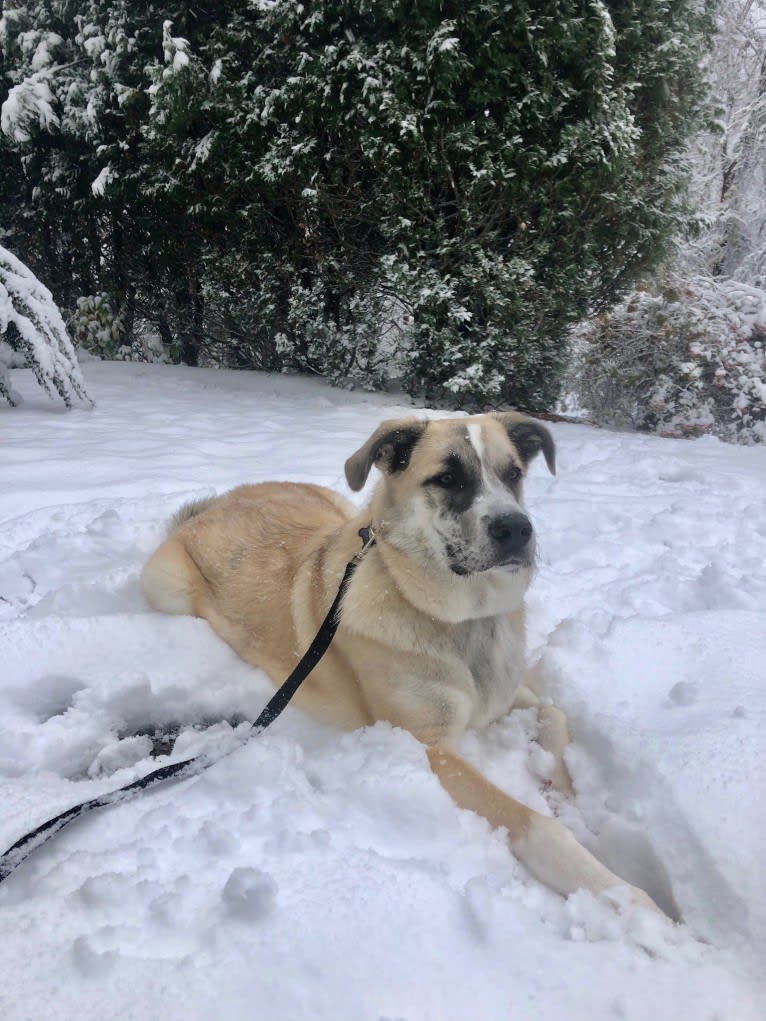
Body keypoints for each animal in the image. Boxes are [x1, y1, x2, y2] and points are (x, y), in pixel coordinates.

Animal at [142, 410, 661, 914]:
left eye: (513, 473)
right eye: (447, 478)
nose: (517, 529)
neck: (462, 620)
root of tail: (215, 505)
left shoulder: (506, 694)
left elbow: (556, 714)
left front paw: (567, 797)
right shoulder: (428, 746)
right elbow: (535, 824)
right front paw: (629, 902)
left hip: (341, 508)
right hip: (167, 588)